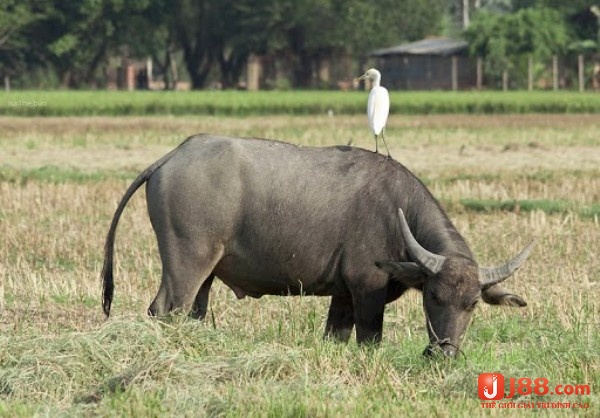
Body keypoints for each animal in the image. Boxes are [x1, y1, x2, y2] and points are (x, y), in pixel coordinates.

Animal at [99, 134, 536, 356]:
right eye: (432, 297)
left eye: (472, 304)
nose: (443, 352)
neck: (397, 213)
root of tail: (174, 155)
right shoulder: (367, 292)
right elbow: (370, 341)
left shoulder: (343, 297)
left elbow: (335, 336)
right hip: (185, 264)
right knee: (163, 310)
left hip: (207, 272)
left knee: (194, 312)